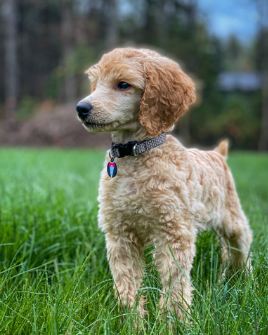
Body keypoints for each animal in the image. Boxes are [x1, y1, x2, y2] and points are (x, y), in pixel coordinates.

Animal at [76, 47, 252, 318]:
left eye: (123, 84)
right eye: (96, 83)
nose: (81, 108)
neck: (136, 153)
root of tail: (218, 154)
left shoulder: (173, 232)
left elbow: (175, 285)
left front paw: (175, 321)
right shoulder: (120, 235)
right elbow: (127, 284)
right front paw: (131, 320)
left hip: (232, 217)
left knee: (242, 245)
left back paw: (246, 281)